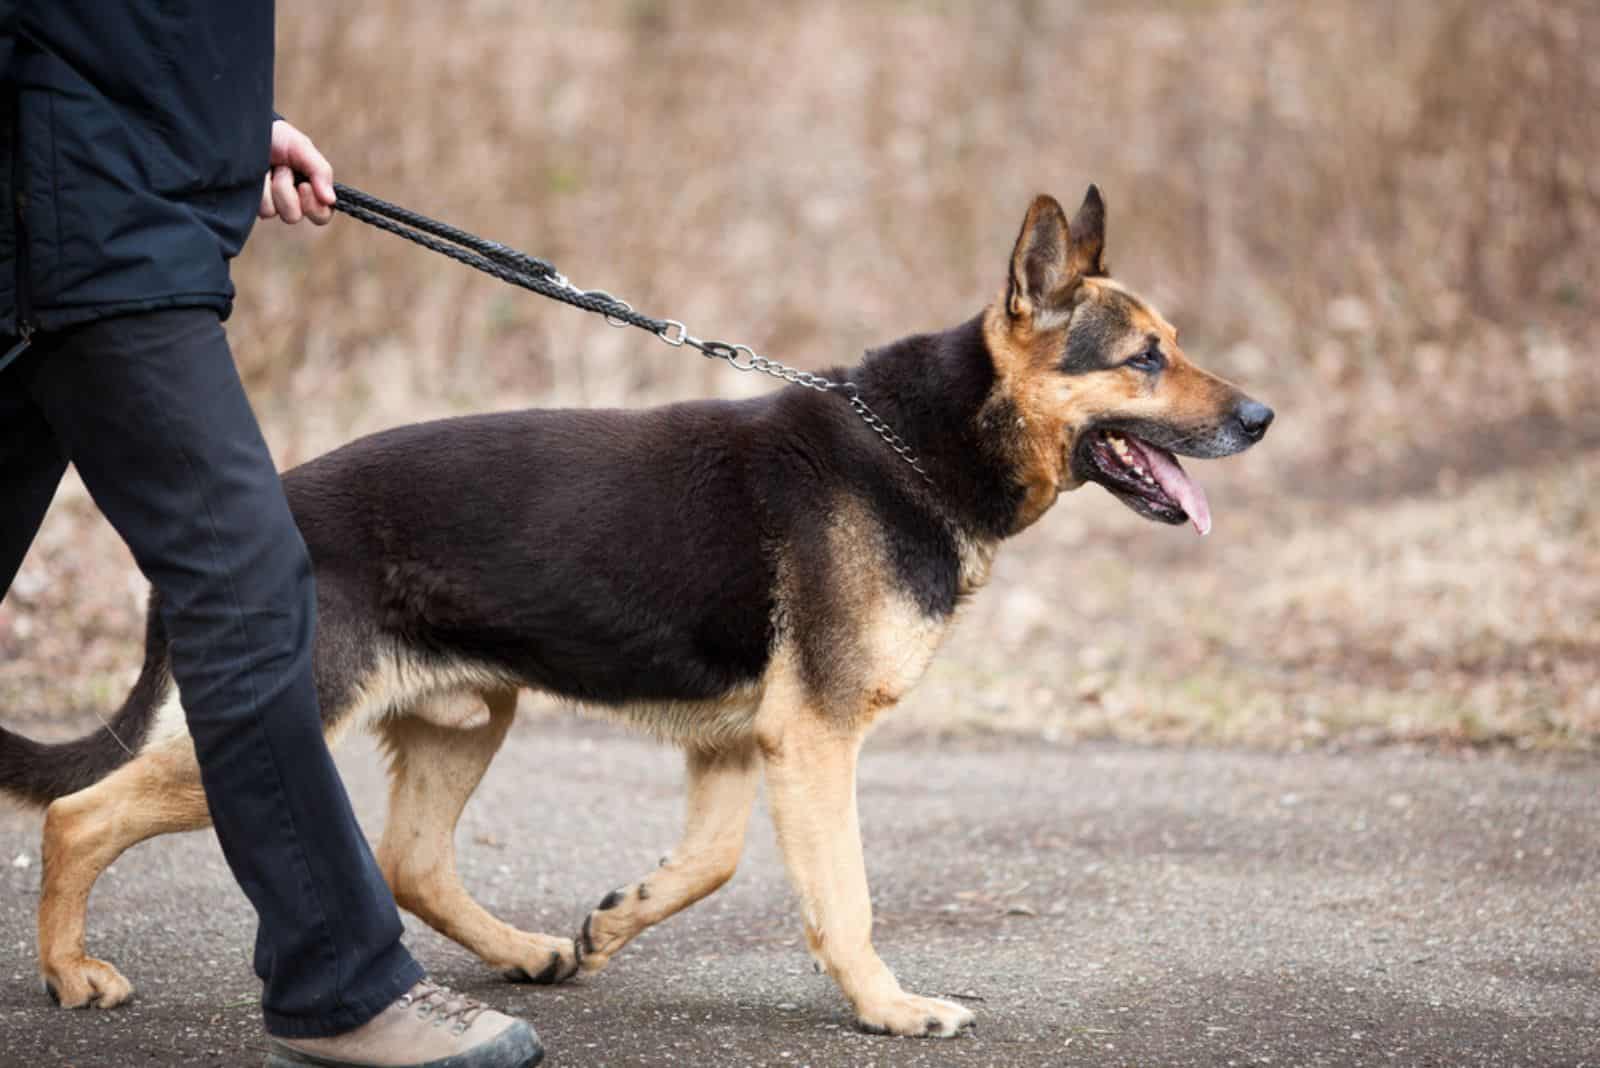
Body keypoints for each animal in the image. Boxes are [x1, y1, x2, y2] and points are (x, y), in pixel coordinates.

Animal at [3, 189, 1273, 1036]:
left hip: (469, 720)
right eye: (1145, 359)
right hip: (293, 718)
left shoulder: (743, 744)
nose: (1260, 417)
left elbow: (707, 865)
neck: (918, 445)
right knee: (76, 814)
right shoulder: (813, 741)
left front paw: (613, 923)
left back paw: (525, 954)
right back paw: (71, 973)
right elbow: (846, 897)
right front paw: (890, 1008)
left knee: (408, 860)